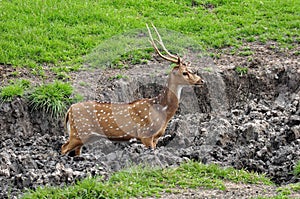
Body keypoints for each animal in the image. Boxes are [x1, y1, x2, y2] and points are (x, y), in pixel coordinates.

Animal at [61, 24, 205, 156]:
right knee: (63, 147)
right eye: (185, 72)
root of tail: (69, 110)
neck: (162, 112)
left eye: (191, 70)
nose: (201, 80)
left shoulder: (156, 137)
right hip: (79, 132)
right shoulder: (145, 134)